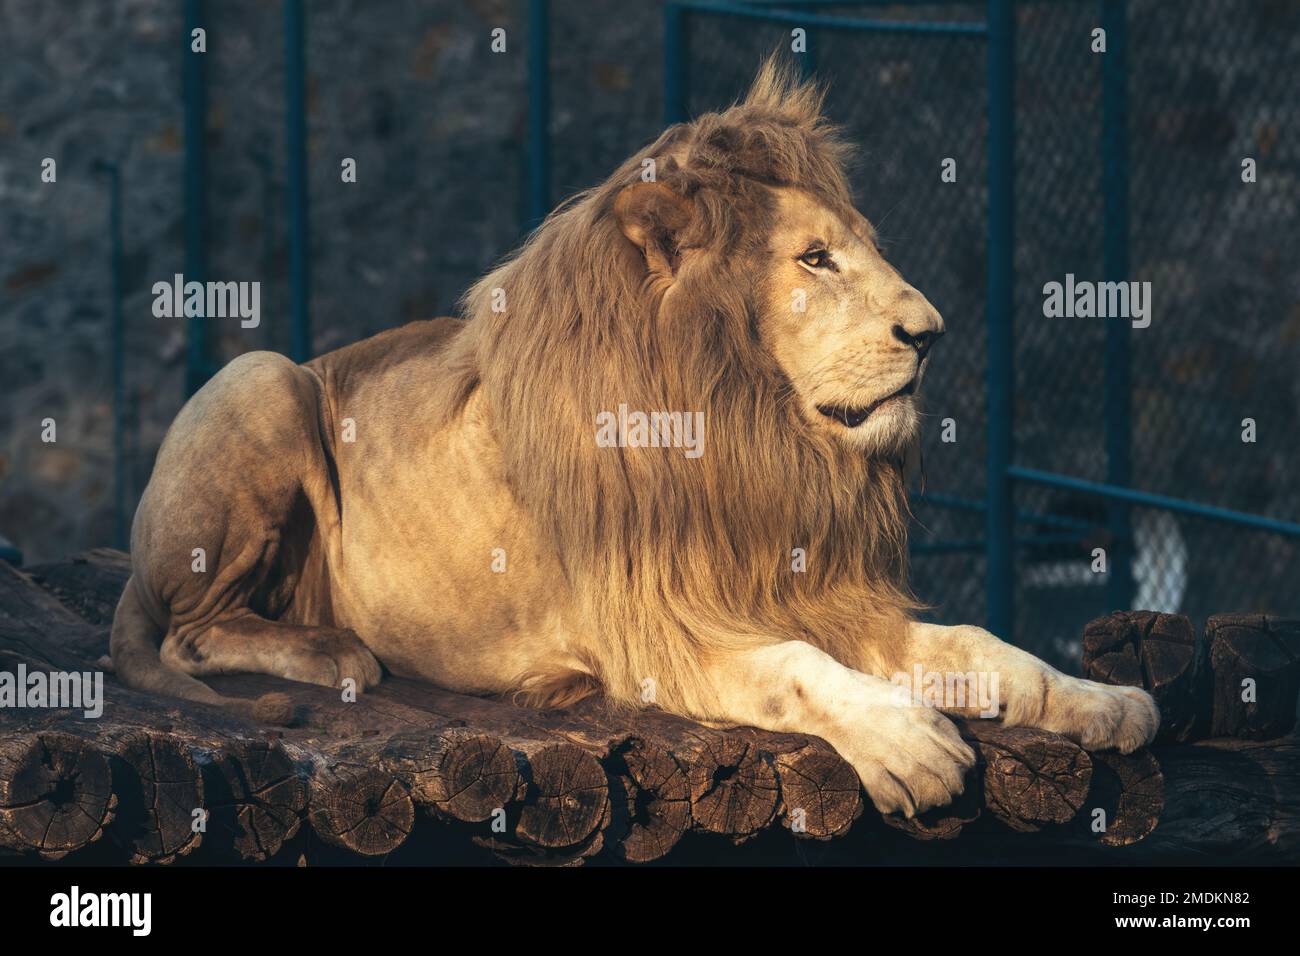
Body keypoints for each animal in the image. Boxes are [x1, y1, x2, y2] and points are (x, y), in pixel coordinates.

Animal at [106, 59, 1154, 816]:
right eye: (816, 259)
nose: (931, 333)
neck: (752, 435)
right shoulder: (658, 630)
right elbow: (794, 671)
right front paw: (909, 743)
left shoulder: (816, 591)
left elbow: (982, 643)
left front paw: (1100, 700)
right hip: (263, 377)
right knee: (192, 634)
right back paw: (333, 654)